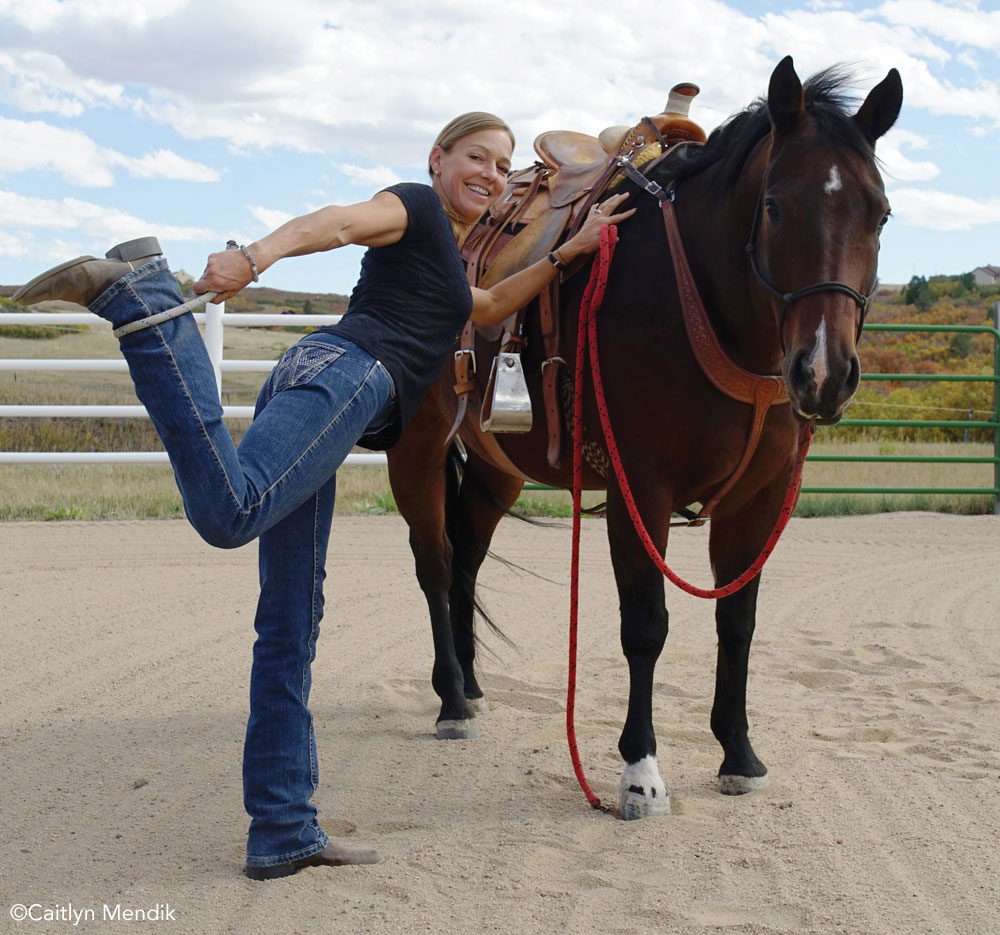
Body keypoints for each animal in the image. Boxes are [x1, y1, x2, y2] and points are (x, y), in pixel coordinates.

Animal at [386, 58, 904, 820]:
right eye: (775, 205)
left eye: (881, 212)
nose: (823, 372)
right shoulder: (639, 489)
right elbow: (646, 625)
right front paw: (640, 769)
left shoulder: (758, 498)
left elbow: (738, 621)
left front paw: (739, 754)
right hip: (416, 452)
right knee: (434, 562)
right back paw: (451, 699)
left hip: (495, 467)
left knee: (467, 560)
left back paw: (473, 688)